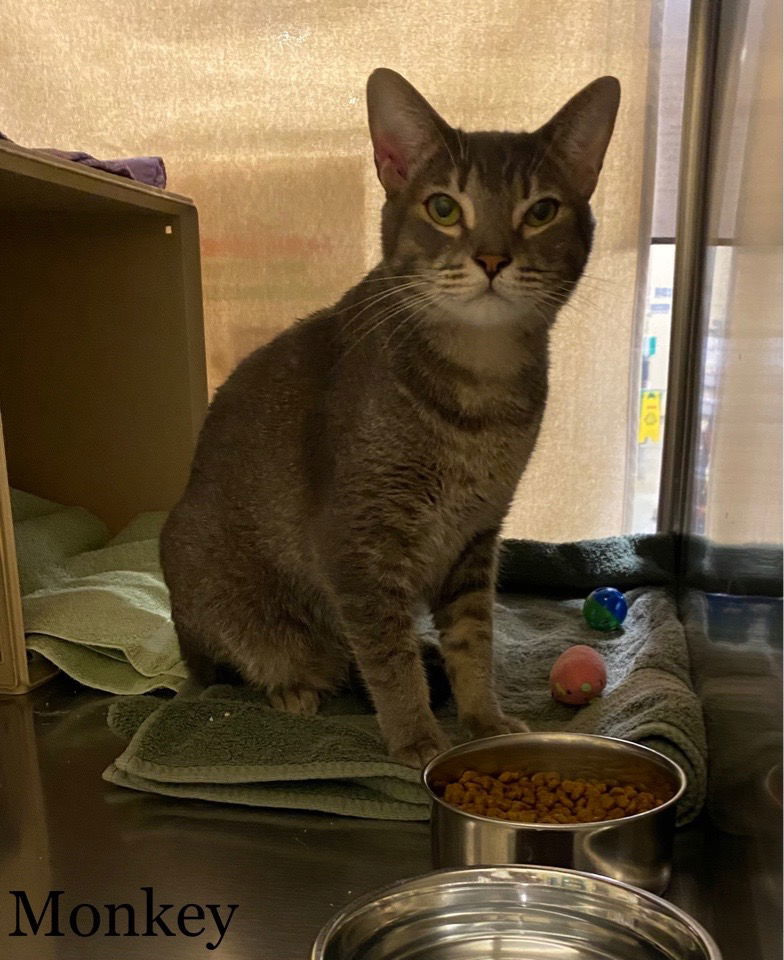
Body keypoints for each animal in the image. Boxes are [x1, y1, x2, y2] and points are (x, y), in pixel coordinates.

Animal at [161, 67, 620, 768]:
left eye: (541, 211)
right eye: (443, 207)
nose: (492, 259)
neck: (480, 394)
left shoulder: (475, 538)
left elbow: (473, 643)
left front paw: (482, 720)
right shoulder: (357, 546)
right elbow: (389, 658)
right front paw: (417, 739)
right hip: (224, 600)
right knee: (238, 668)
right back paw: (291, 687)